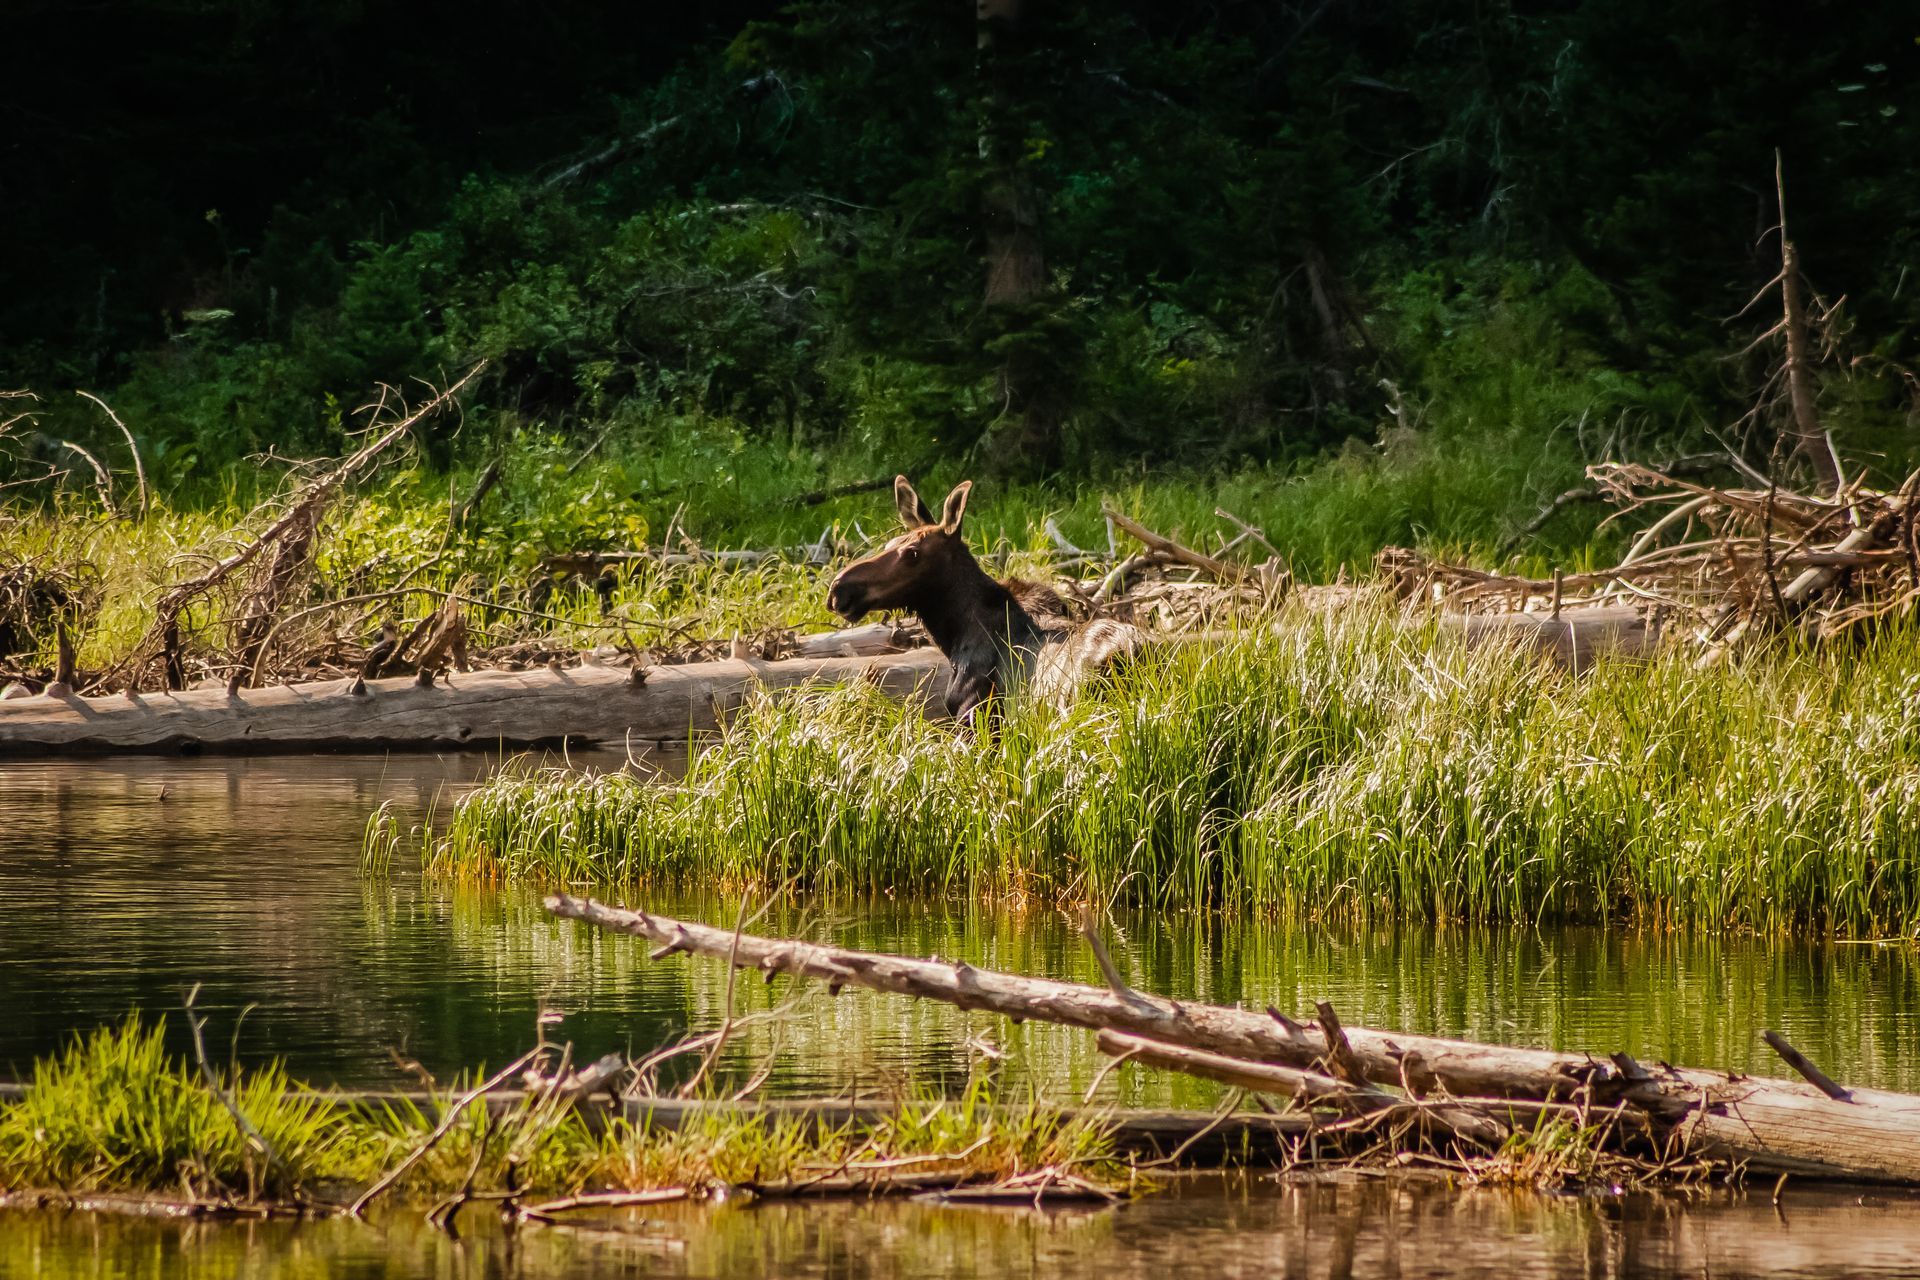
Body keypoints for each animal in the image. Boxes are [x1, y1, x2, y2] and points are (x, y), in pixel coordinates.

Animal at [826, 476, 1142, 726]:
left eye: (912, 552)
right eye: (890, 544)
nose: (839, 588)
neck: (954, 637)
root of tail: (1131, 652)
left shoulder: (974, 718)